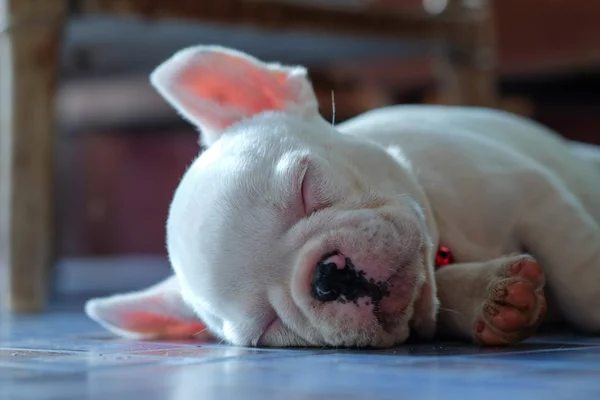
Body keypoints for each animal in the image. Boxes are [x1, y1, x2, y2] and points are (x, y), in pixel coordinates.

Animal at [84, 45, 600, 348]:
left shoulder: (532, 193)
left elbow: (579, 274)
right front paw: (490, 294)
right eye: (267, 327)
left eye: (305, 184)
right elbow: (437, 299)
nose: (328, 277)